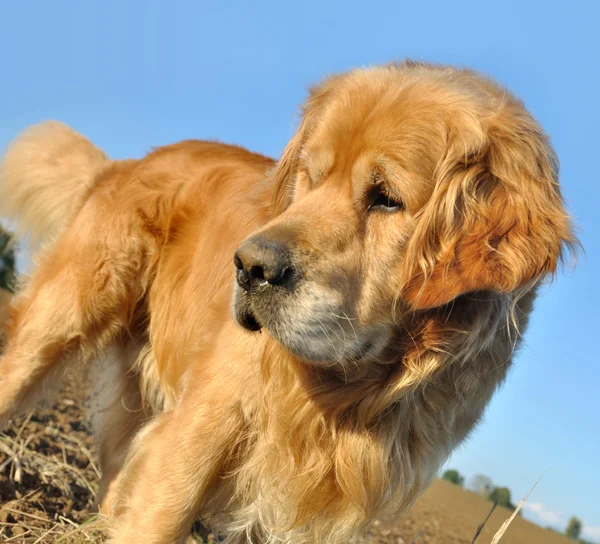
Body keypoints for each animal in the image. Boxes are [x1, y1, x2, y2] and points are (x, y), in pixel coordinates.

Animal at [0, 61, 576, 540]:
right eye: (310, 177)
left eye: (386, 199)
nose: (248, 267)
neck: (354, 387)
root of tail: (130, 161)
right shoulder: (197, 431)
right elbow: (160, 516)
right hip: (59, 319)